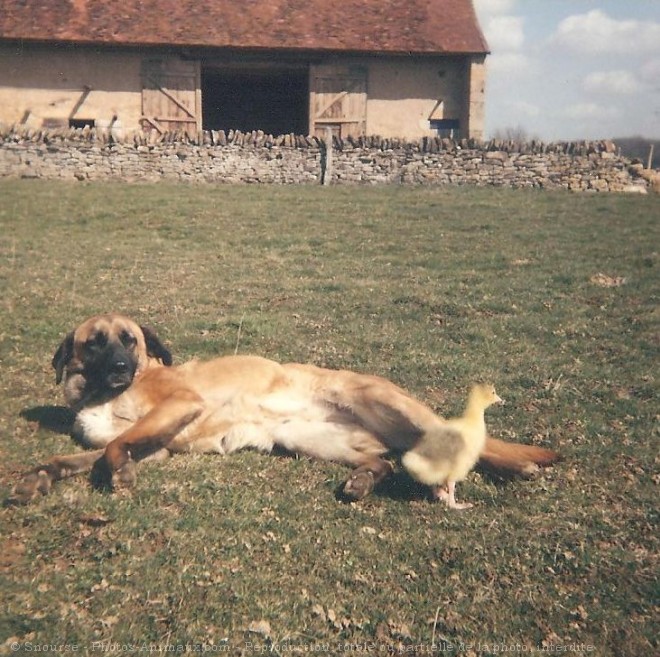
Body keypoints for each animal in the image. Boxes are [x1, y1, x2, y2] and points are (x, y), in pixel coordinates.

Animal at [10, 312, 560, 502]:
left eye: (130, 340)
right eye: (95, 343)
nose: (122, 367)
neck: (103, 394)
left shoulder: (175, 410)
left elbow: (115, 447)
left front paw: (118, 475)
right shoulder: (156, 446)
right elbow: (75, 456)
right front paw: (38, 478)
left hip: (387, 404)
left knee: (464, 443)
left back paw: (515, 469)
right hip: (311, 439)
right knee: (385, 463)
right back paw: (364, 481)